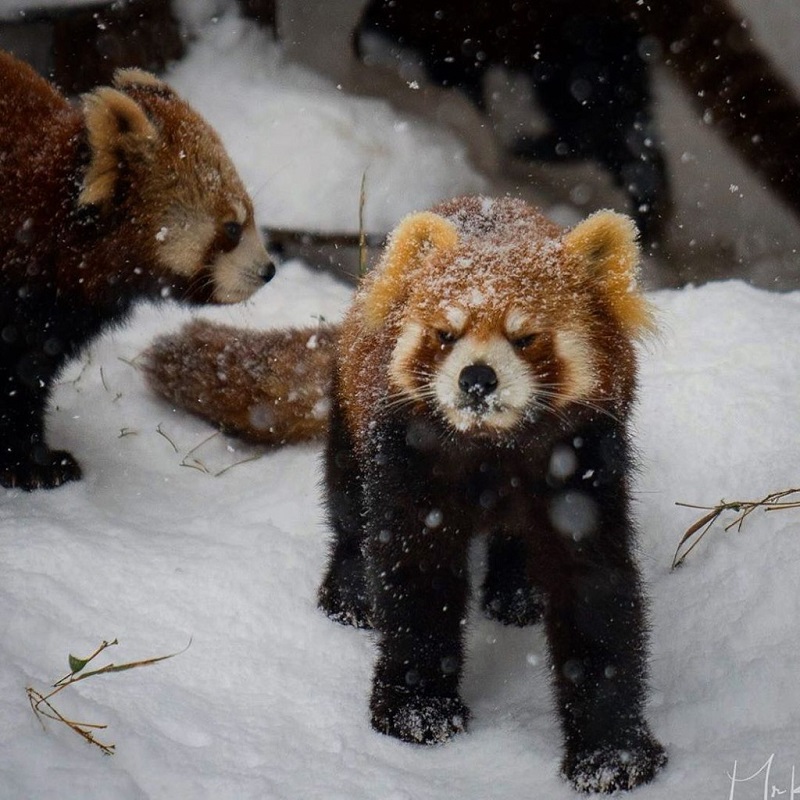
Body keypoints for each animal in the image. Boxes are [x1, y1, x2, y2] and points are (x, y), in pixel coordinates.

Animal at [0, 51, 276, 488]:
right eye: (232, 229)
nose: (269, 270)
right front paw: (24, 465)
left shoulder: (50, 319)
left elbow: (28, 375)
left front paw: (39, 458)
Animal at [147, 197, 664, 792]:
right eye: (445, 334)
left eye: (525, 337)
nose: (477, 379)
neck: (492, 450)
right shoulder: (409, 455)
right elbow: (416, 577)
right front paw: (417, 712)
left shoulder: (582, 467)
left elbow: (597, 600)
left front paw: (613, 757)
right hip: (350, 412)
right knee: (348, 507)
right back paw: (351, 593)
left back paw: (515, 593)